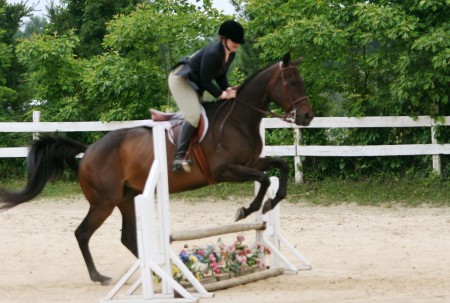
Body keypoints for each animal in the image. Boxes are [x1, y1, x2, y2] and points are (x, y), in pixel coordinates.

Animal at [0, 51, 314, 286]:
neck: (238, 119)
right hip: (104, 202)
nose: (307, 116)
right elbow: (264, 179)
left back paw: (156, 272)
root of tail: (88, 150)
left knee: (126, 236)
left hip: (126, 198)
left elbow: (279, 167)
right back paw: (100, 276)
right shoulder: (226, 170)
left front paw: (271, 202)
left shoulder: (249, 163)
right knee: (82, 233)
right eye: (291, 82)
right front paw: (248, 209)